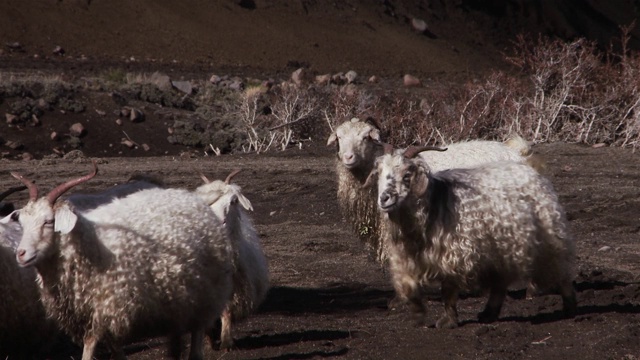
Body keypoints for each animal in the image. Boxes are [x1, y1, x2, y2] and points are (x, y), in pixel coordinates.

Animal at [3, 163, 234, 360]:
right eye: (21, 221)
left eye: (49, 221)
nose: (21, 254)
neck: (89, 243)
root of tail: (193, 200)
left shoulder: (105, 310)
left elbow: (90, 347)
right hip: (177, 296)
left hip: (205, 294)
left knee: (197, 335)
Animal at [192, 170, 268, 350]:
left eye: (234, 201)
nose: (219, 223)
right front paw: (209, 341)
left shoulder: (233, 290)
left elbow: (226, 312)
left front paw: (226, 341)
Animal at [368, 145, 576, 328]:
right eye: (379, 172)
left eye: (407, 174)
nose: (384, 199)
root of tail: (532, 172)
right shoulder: (405, 257)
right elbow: (408, 286)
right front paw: (418, 315)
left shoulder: (454, 253)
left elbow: (448, 290)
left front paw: (448, 321)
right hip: (502, 246)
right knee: (501, 282)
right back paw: (489, 313)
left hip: (548, 235)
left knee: (561, 269)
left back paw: (570, 307)